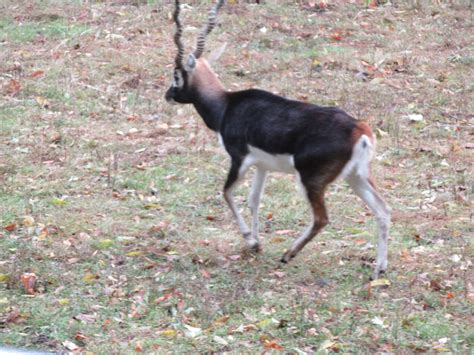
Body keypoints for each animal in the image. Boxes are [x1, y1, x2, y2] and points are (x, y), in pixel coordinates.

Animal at [165, 0, 390, 280]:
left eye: (176, 74)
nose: (168, 95)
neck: (226, 105)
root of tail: (359, 130)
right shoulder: (262, 166)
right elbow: (254, 200)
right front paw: (256, 243)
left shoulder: (239, 158)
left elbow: (227, 193)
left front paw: (250, 240)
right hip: (356, 176)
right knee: (383, 210)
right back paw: (380, 268)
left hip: (311, 180)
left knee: (322, 219)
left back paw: (288, 254)